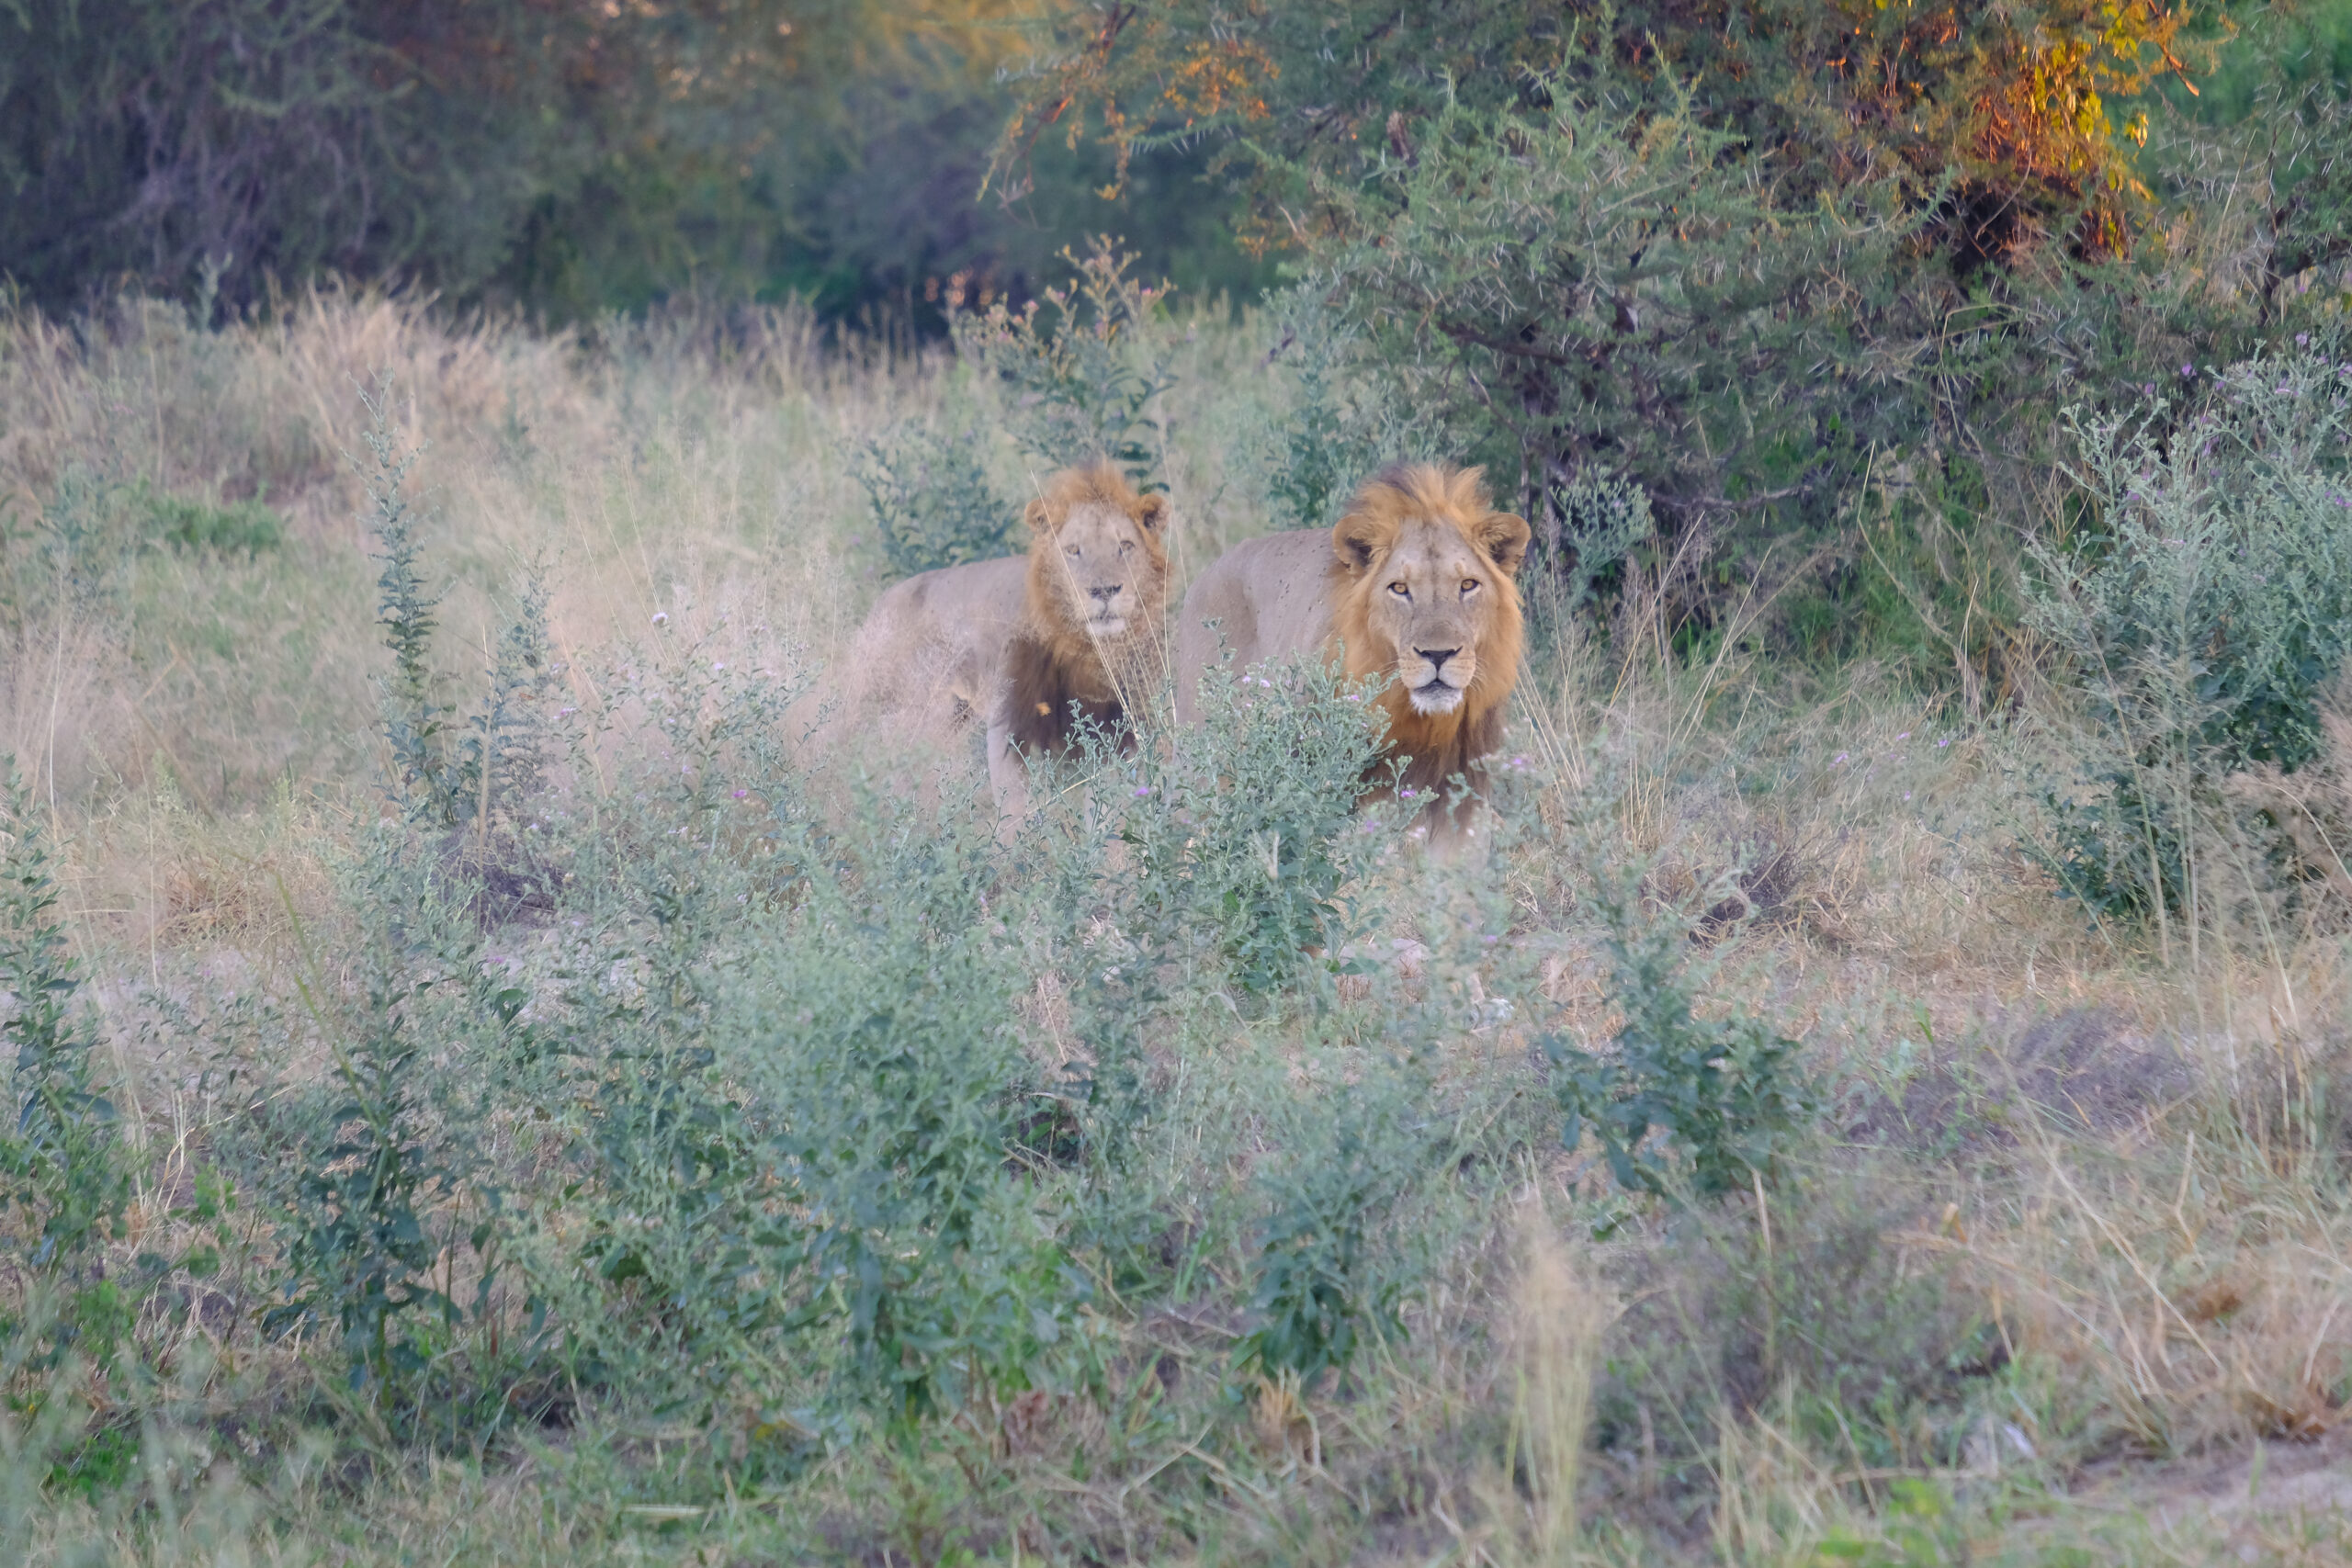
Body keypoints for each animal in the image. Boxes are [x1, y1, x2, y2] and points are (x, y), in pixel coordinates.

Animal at [840, 461, 1170, 830]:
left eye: (1125, 546)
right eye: (1073, 550)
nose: (1104, 590)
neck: (1085, 651)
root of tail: (882, 603)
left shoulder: (1115, 732)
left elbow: (1105, 813)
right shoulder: (1009, 728)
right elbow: (1012, 814)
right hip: (918, 715)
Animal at [1174, 461, 1530, 836]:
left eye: (1468, 585)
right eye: (1399, 588)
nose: (1437, 654)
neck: (1421, 723)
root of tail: (1205, 573)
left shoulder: (1462, 795)